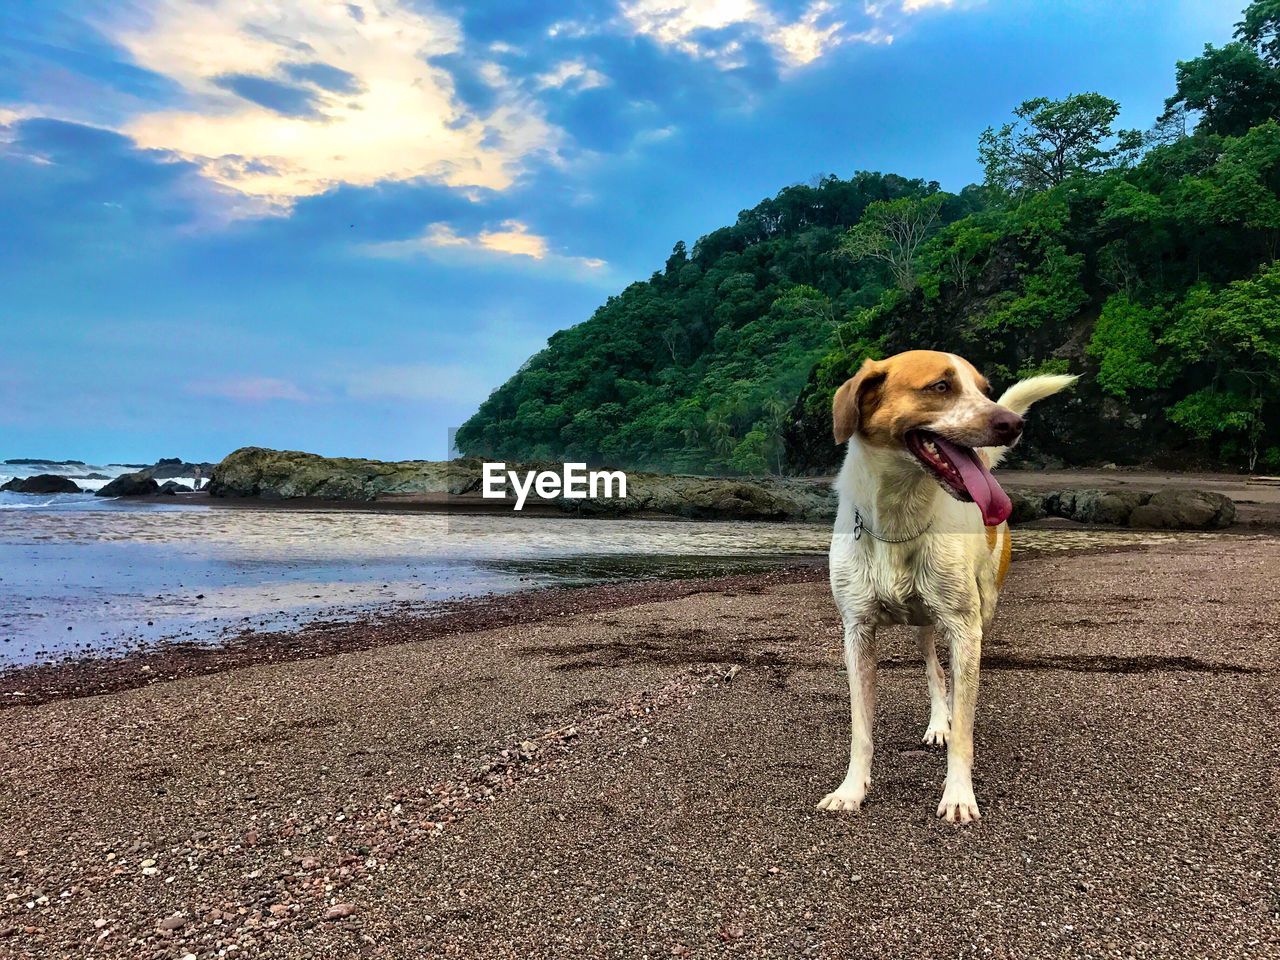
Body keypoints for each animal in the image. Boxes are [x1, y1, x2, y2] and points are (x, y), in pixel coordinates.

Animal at [814, 353, 1075, 829]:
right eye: (940, 386)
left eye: (985, 389)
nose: (1012, 423)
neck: (899, 516)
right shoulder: (857, 631)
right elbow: (861, 728)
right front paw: (851, 790)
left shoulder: (963, 627)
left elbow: (964, 731)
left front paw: (958, 794)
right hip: (924, 624)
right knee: (933, 668)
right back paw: (939, 721)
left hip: (979, 610)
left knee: (954, 676)